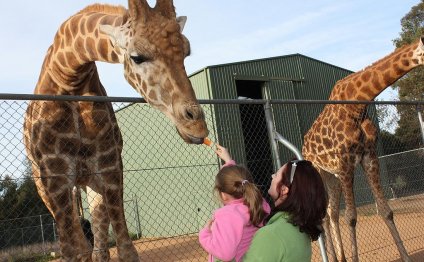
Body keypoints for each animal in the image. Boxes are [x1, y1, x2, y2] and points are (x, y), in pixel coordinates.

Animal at [23, 1, 209, 260]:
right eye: (137, 57)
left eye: (186, 52)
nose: (197, 126)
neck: (69, 78)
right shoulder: (55, 177)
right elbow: (72, 252)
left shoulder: (110, 166)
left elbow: (125, 249)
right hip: (45, 187)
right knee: (80, 245)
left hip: (91, 185)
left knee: (98, 247)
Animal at [302, 37, 424, 262]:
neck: (357, 105)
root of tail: (304, 144)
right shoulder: (345, 162)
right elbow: (351, 217)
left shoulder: (369, 157)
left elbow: (386, 211)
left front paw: (406, 257)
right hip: (320, 170)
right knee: (324, 214)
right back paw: (333, 258)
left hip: (333, 176)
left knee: (331, 212)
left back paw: (340, 258)